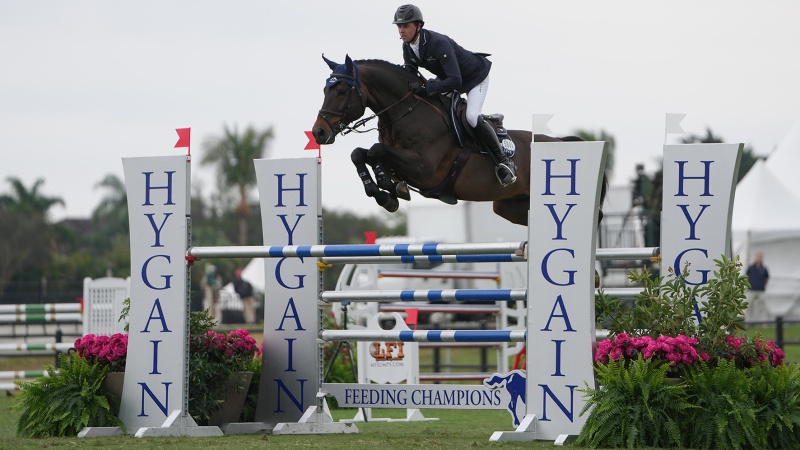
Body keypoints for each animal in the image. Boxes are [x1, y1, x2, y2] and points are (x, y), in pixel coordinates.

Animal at [310, 55, 604, 225]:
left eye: (341, 91)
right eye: (324, 89)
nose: (319, 133)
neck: (405, 110)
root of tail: (561, 142)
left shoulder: (425, 169)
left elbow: (375, 150)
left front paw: (387, 189)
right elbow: (360, 154)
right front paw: (385, 193)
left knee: (595, 215)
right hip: (509, 205)